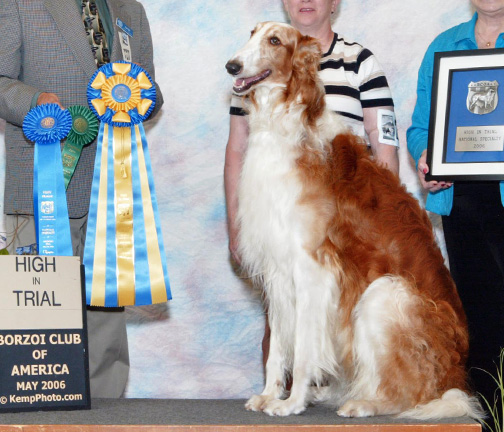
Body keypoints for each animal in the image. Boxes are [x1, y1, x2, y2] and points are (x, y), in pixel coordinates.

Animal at [226, 22, 482, 420]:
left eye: (274, 40)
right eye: (251, 34)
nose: (232, 66)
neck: (285, 122)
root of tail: (455, 376)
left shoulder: (313, 269)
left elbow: (303, 350)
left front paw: (291, 402)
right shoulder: (279, 270)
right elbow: (278, 349)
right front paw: (269, 395)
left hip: (384, 294)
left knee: (407, 395)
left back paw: (362, 402)